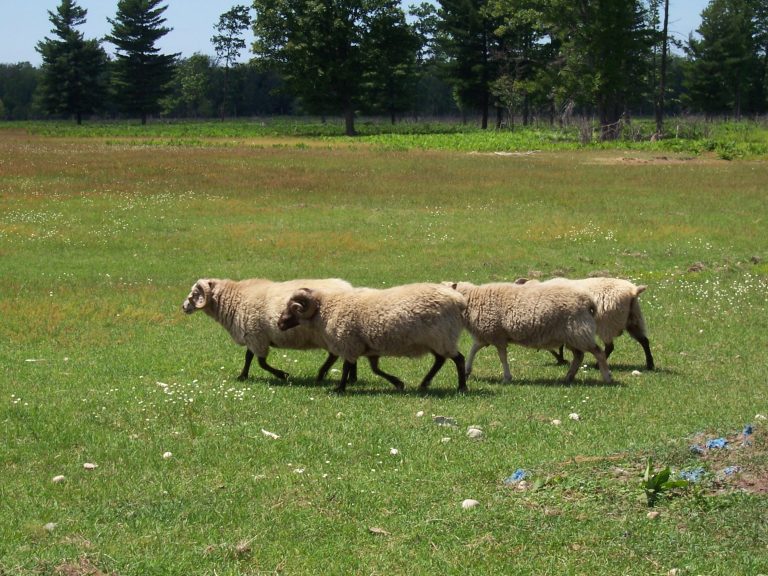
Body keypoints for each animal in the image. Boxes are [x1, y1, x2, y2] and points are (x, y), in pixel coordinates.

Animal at [183, 278, 354, 382]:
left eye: (196, 293)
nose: (183, 307)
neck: (235, 299)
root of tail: (349, 287)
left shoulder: (257, 336)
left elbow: (261, 363)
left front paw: (283, 375)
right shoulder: (251, 335)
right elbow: (248, 357)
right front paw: (243, 376)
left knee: (334, 355)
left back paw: (322, 375)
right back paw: (349, 379)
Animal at [276, 282, 468, 394]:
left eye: (293, 308)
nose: (279, 324)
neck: (328, 309)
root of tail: (458, 300)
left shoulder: (349, 343)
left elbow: (346, 367)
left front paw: (340, 388)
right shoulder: (368, 348)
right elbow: (375, 369)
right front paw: (398, 383)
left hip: (443, 337)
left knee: (458, 359)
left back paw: (462, 387)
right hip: (436, 340)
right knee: (440, 360)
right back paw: (424, 383)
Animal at [444, 282, 612, 384]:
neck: (472, 298)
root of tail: (589, 301)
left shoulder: (496, 335)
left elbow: (502, 358)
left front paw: (507, 378)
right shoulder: (486, 335)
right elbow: (473, 350)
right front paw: (467, 371)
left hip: (579, 331)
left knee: (598, 352)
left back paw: (607, 377)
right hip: (572, 335)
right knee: (579, 356)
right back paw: (568, 377)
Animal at [516, 278, 656, 368]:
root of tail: (633, 290)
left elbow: (558, 346)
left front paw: (561, 359)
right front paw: (561, 359)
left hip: (607, 324)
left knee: (610, 347)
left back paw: (597, 365)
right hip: (634, 320)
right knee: (644, 341)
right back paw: (650, 364)